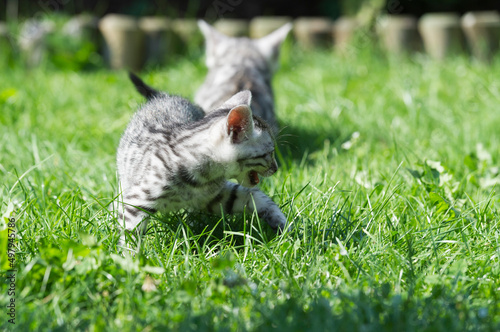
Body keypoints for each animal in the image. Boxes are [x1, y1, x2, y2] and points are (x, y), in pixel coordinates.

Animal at [117, 74, 288, 245]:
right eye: (270, 153)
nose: (276, 168)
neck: (203, 178)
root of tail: (164, 97)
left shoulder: (217, 197)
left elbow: (256, 197)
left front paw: (283, 225)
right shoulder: (138, 200)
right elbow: (131, 233)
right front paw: (130, 252)